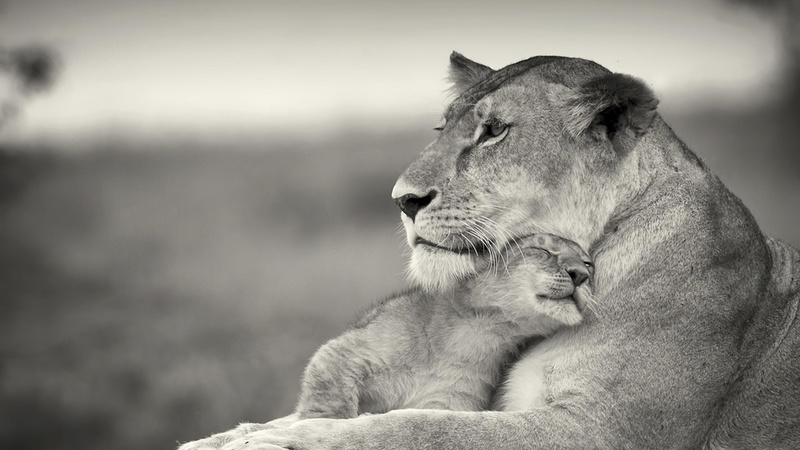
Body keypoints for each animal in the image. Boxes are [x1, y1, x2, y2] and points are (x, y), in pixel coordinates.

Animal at [178, 53, 800, 449]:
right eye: (443, 128)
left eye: (495, 131)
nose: (403, 200)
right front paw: (234, 435)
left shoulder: (605, 431)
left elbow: (420, 429)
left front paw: (293, 437)